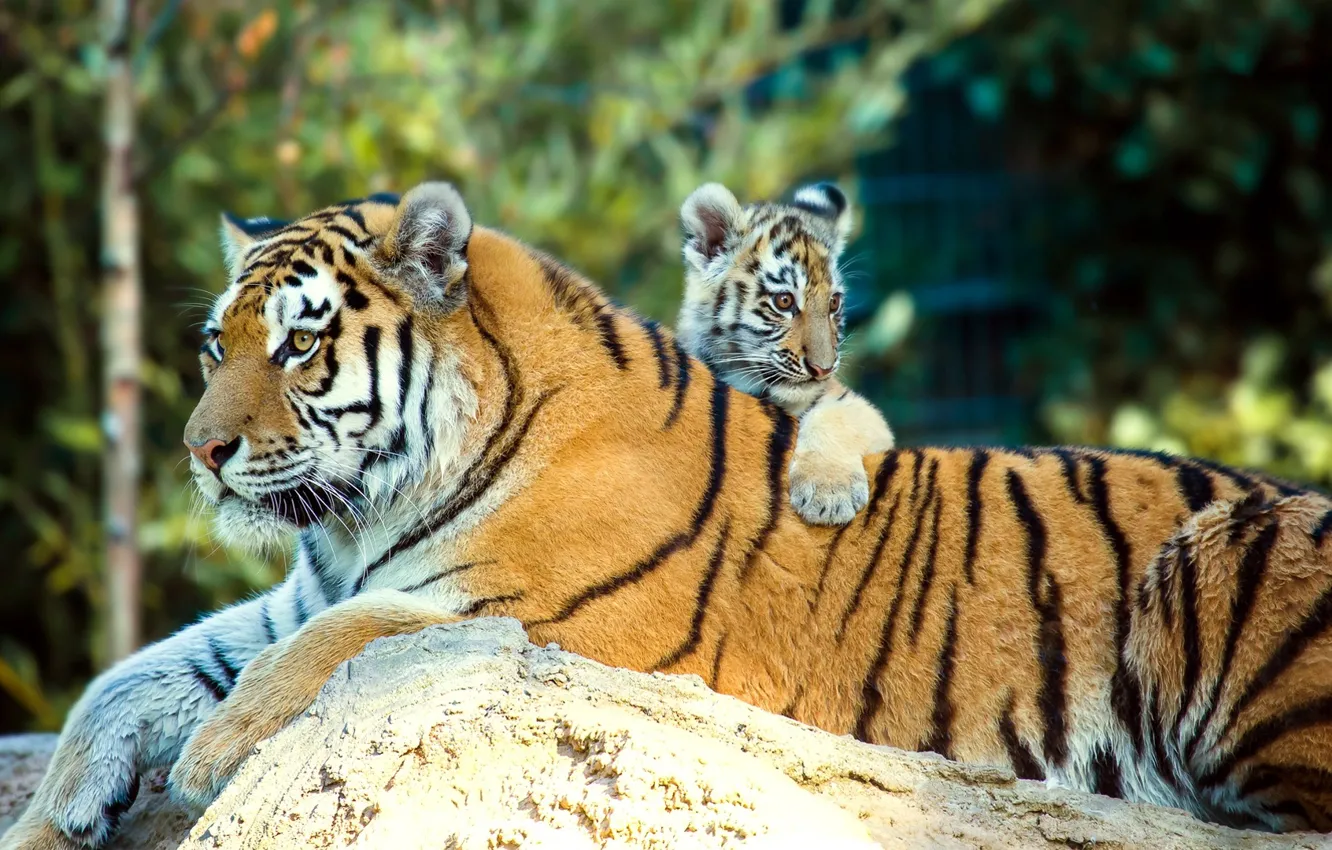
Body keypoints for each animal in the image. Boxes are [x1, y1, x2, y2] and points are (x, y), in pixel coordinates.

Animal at [676, 181, 895, 526]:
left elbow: (833, 417)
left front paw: (829, 495)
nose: (823, 369)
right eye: (784, 301)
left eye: (834, 303)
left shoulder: (861, 409)